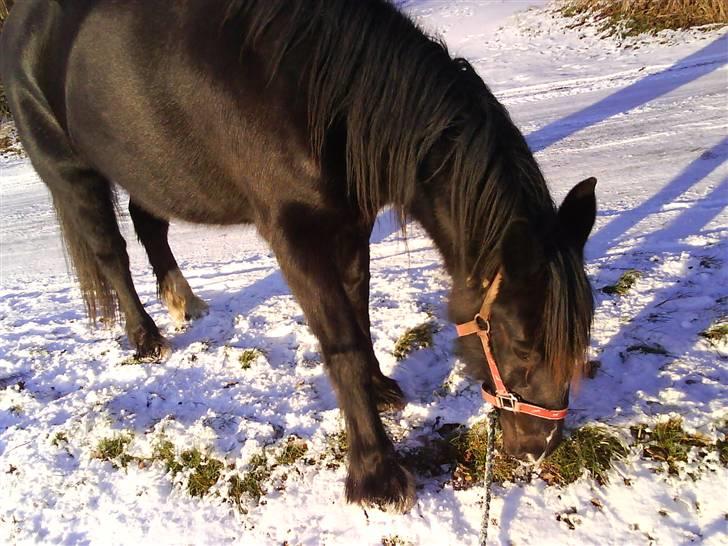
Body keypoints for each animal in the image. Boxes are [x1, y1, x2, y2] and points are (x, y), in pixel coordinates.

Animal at [1, 0, 596, 512]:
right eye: (523, 343)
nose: (540, 445)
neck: (318, 96)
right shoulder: (293, 239)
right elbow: (341, 343)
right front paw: (375, 476)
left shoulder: (351, 224)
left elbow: (359, 312)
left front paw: (380, 389)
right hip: (73, 174)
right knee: (111, 253)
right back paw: (146, 338)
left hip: (148, 171)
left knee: (150, 226)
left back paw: (184, 303)